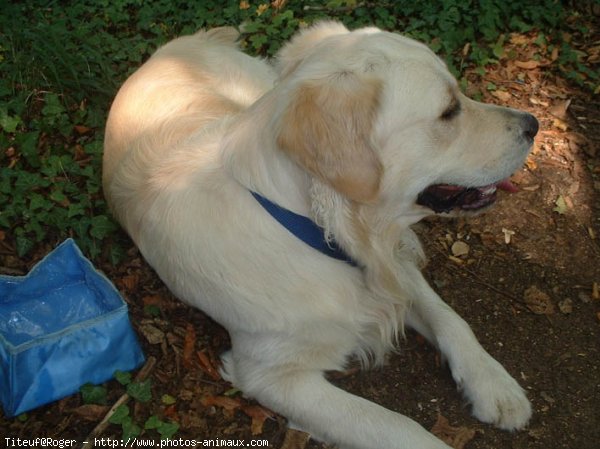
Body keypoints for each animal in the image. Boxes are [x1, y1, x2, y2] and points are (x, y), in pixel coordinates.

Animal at [103, 21, 540, 448]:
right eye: (449, 111)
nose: (533, 124)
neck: (321, 231)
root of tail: (175, 47)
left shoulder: (389, 262)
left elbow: (448, 316)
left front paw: (494, 384)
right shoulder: (272, 374)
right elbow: (399, 427)